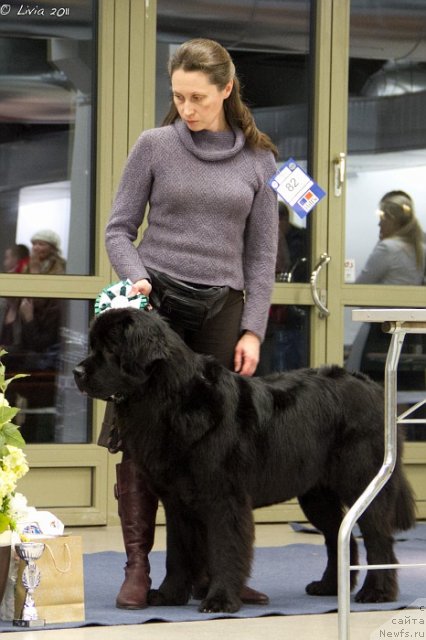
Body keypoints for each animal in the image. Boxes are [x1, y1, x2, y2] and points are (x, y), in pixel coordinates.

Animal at [74, 308, 416, 612]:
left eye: (110, 348)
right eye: (93, 346)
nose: (77, 372)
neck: (170, 399)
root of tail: (372, 386)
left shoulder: (224, 498)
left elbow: (225, 549)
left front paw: (220, 600)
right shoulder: (176, 501)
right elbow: (177, 552)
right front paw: (169, 595)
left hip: (363, 481)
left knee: (377, 538)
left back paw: (377, 593)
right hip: (316, 495)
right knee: (338, 536)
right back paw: (330, 586)